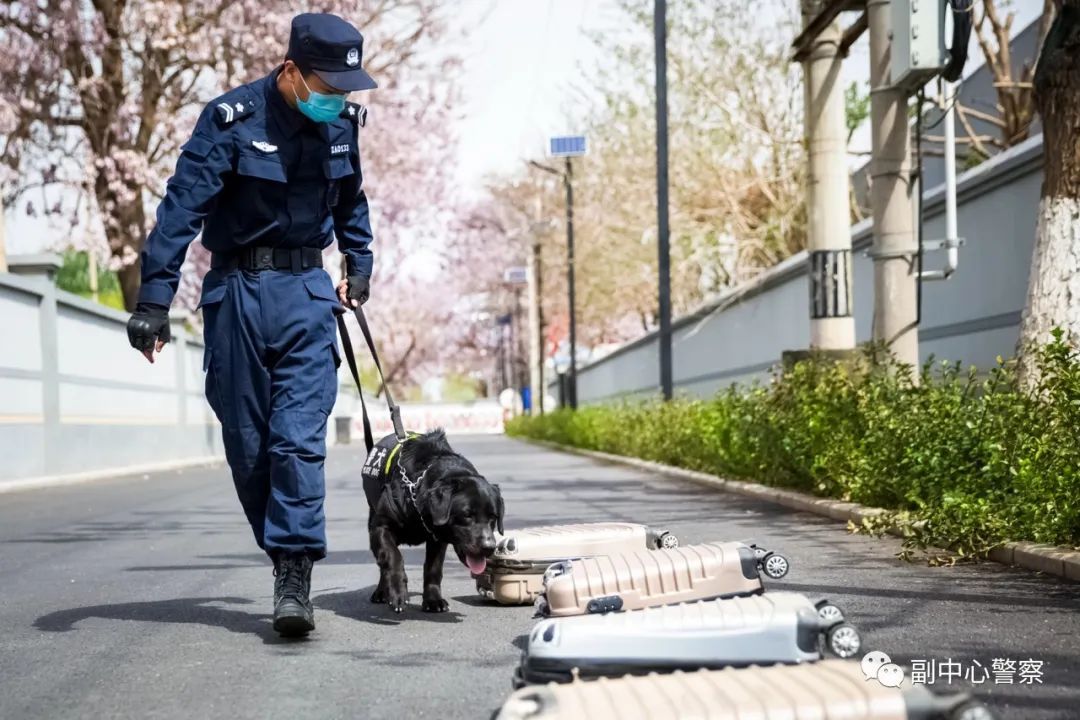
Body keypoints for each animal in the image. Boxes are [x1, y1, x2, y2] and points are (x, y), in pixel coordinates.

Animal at [358, 431, 501, 613]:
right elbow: (393, 557)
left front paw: (433, 600)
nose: (489, 547)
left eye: (493, 518)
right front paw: (398, 592)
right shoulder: (381, 528)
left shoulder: (437, 539)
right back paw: (382, 592)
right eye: (467, 515)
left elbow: (433, 569)